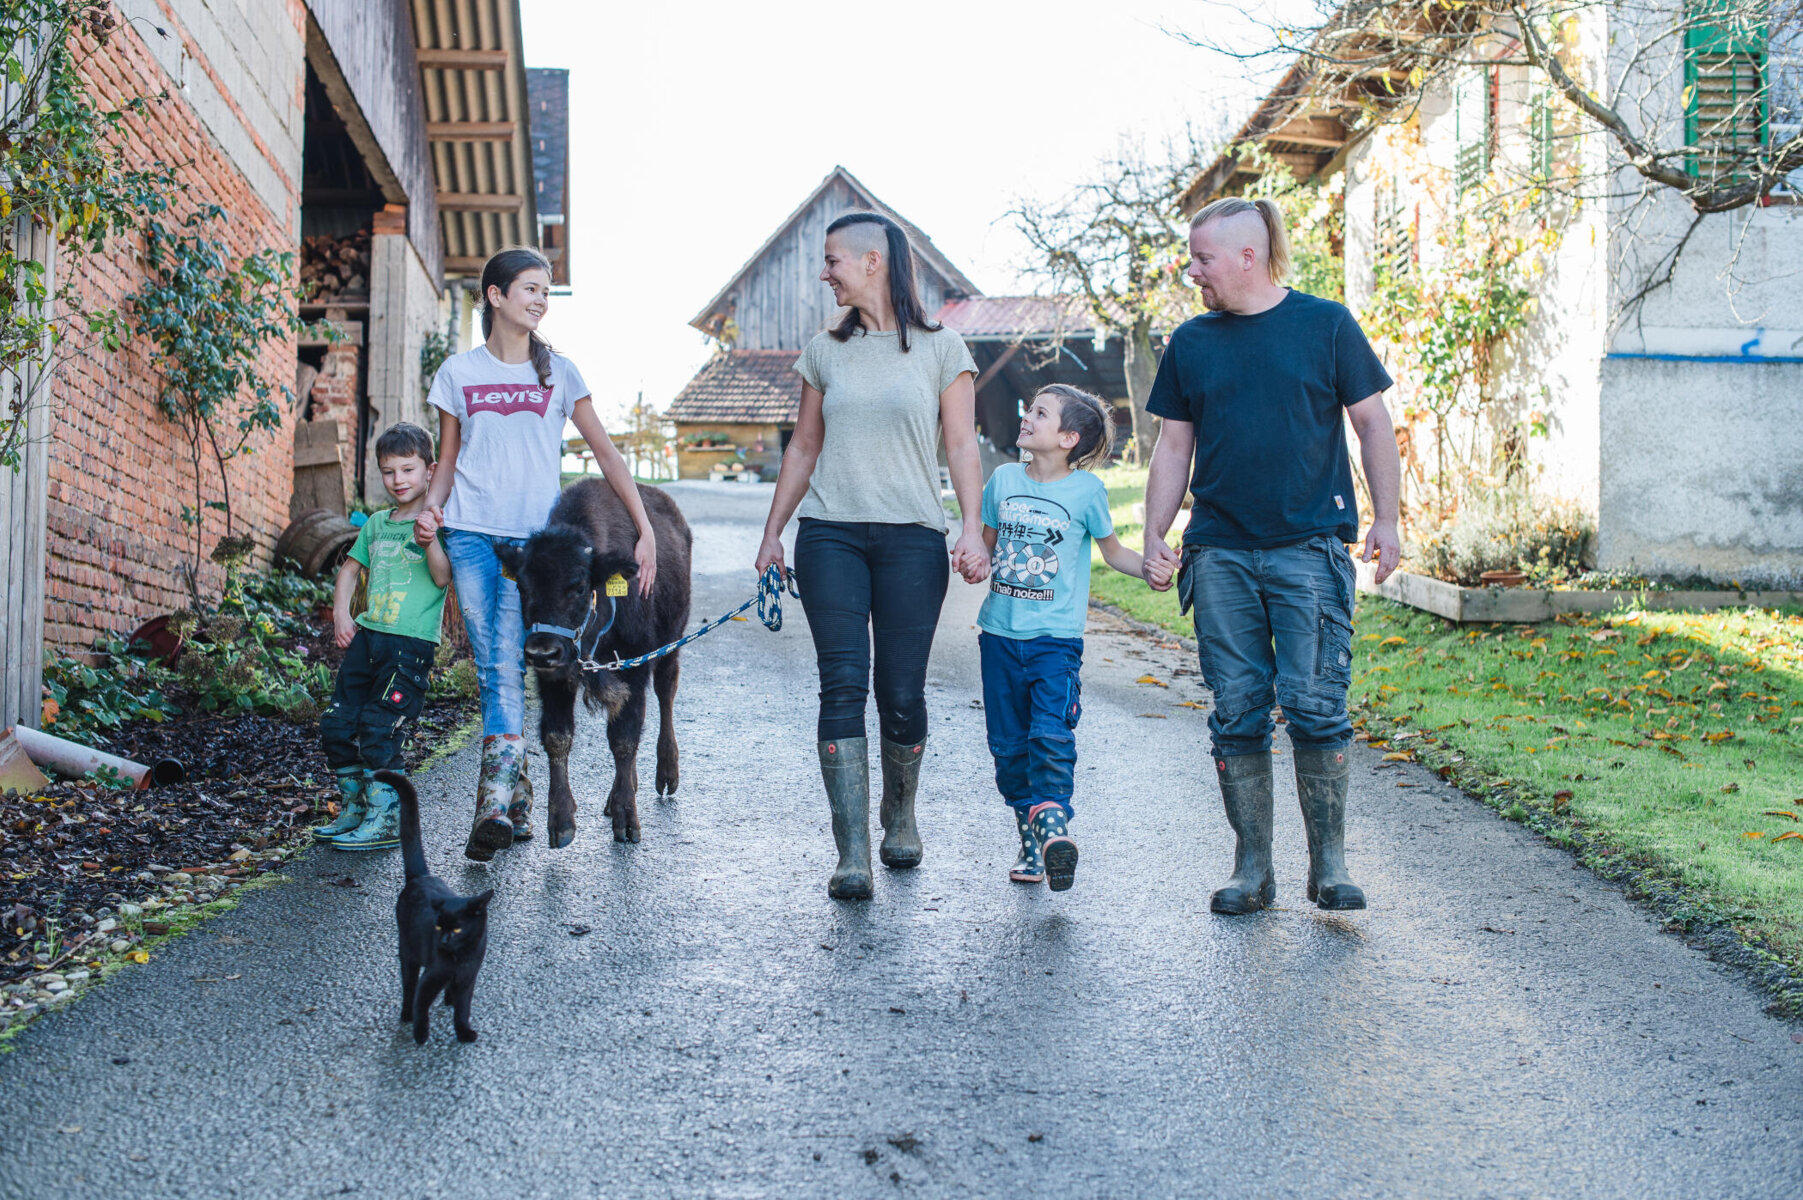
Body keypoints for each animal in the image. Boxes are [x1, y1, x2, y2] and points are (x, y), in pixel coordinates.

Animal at [378, 771, 490, 1045]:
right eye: (439, 927)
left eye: (458, 929)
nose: (444, 941)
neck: (462, 957)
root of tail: (420, 876)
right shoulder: (432, 975)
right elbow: (421, 1003)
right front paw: (420, 1034)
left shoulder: (469, 979)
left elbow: (463, 1009)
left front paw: (463, 1032)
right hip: (407, 951)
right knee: (409, 986)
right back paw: (406, 1015)